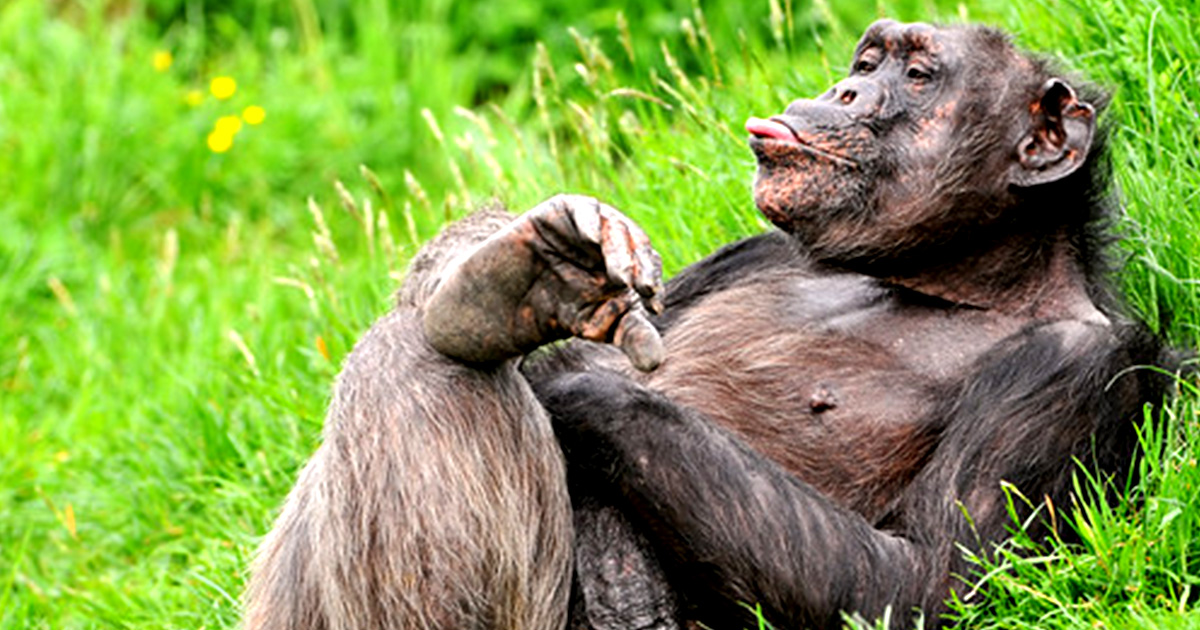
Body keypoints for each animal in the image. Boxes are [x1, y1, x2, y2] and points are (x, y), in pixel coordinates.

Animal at [241, 19, 1171, 628]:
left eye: (918, 78)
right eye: (869, 59)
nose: (846, 89)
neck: (939, 279)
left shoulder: (1070, 371)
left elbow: (926, 583)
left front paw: (572, 378)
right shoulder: (753, 251)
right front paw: (530, 271)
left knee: (422, 369)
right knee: (418, 348)